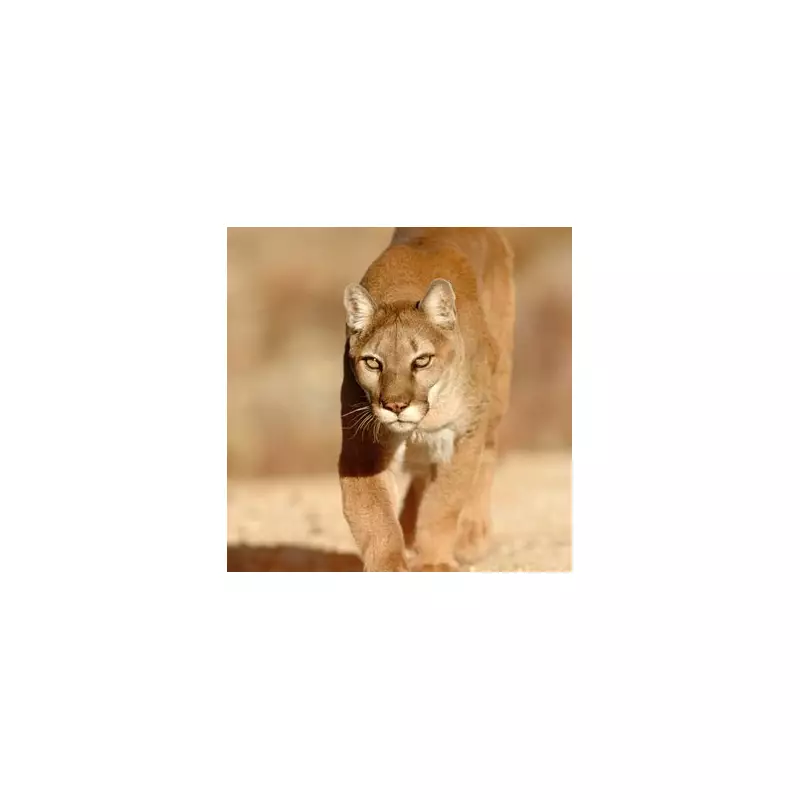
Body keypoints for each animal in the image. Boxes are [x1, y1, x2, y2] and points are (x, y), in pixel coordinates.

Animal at [338, 228, 515, 571]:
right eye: (373, 363)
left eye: (421, 361)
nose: (395, 406)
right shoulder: (361, 448)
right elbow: (374, 516)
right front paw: (390, 564)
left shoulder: (463, 435)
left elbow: (444, 501)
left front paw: (433, 562)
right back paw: (409, 532)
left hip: (497, 391)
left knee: (488, 455)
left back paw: (472, 535)